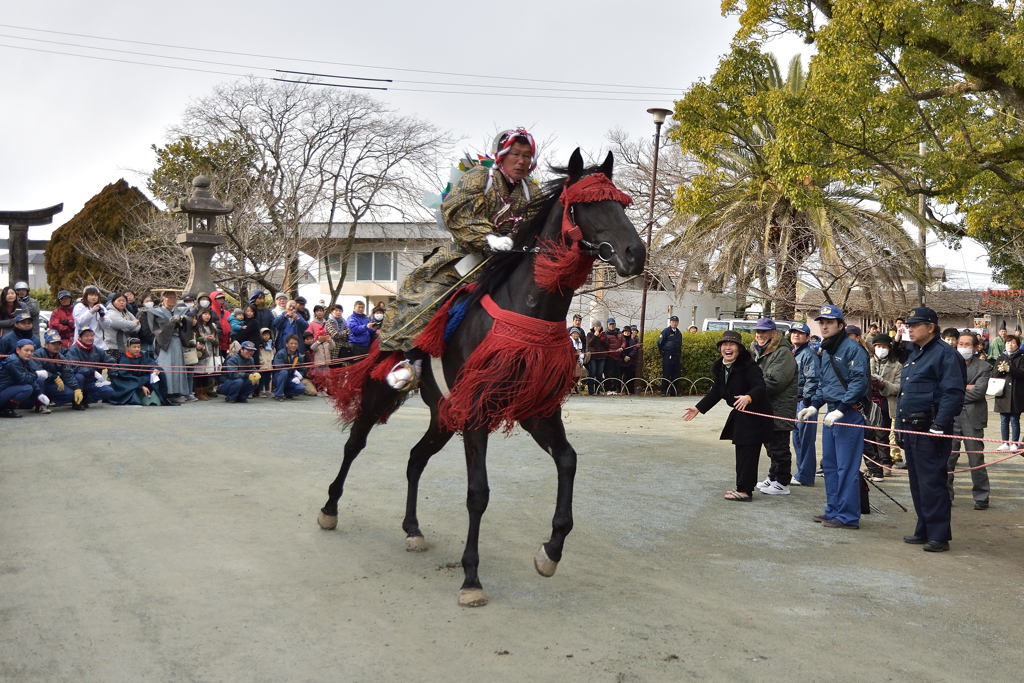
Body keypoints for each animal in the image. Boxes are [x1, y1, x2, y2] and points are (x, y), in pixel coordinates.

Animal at [315, 148, 643, 602]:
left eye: (621, 202)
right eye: (587, 205)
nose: (636, 253)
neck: (527, 309)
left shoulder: (536, 410)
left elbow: (568, 460)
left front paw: (551, 550)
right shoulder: (476, 412)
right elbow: (478, 493)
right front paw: (471, 576)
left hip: (441, 416)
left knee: (415, 459)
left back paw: (412, 529)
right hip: (384, 394)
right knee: (355, 444)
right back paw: (330, 508)